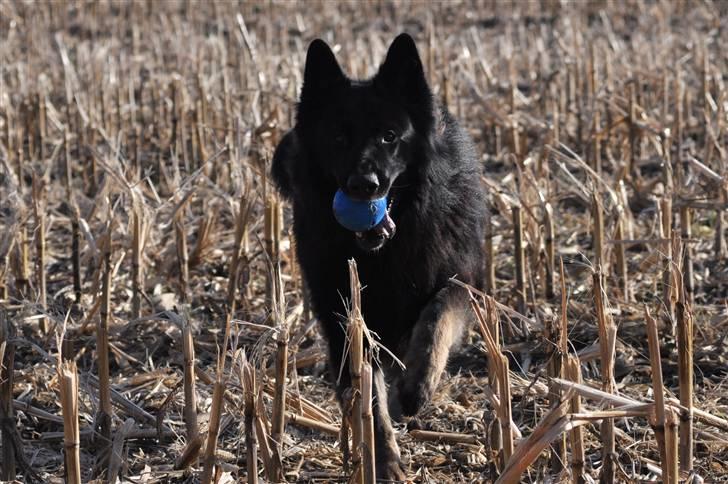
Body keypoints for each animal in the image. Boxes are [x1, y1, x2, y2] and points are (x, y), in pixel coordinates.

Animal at [270, 33, 486, 480]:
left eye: (390, 136)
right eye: (338, 137)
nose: (364, 185)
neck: (386, 251)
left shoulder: (462, 281)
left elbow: (437, 317)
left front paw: (417, 386)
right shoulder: (346, 318)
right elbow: (367, 394)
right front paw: (383, 460)